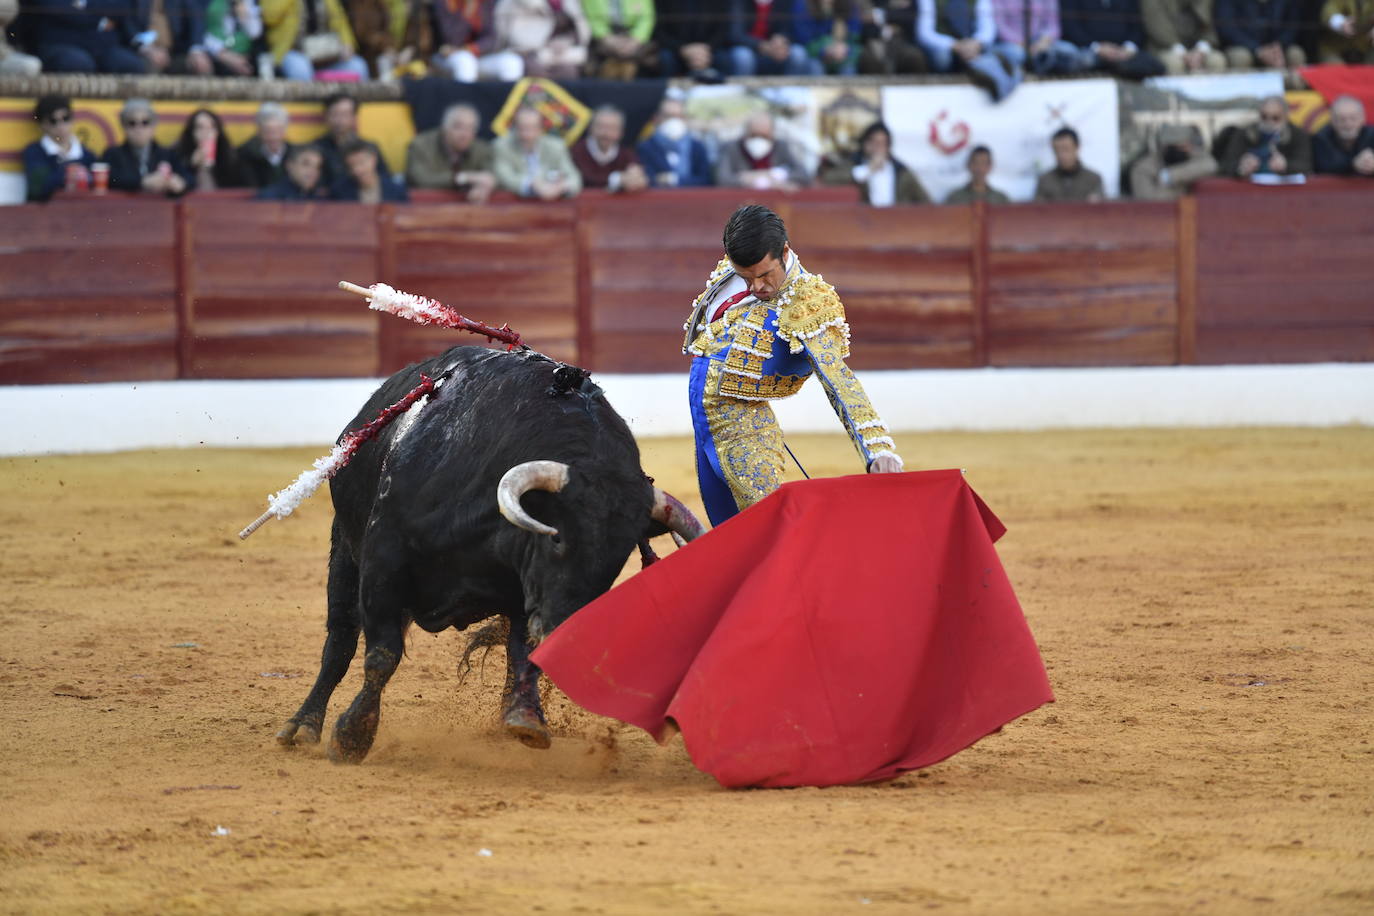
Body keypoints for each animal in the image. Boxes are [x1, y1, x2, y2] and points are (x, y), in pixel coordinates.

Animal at [277, 347, 703, 763]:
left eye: (618, 558)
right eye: (557, 539)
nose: (565, 633)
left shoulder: (524, 590)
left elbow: (523, 651)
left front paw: (525, 718)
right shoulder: (384, 560)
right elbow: (382, 654)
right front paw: (352, 737)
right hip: (344, 552)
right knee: (341, 639)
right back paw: (302, 726)